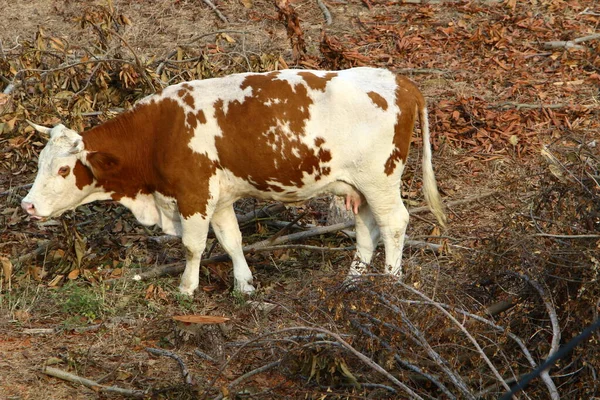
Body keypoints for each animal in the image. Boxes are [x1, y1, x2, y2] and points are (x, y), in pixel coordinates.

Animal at [21, 67, 446, 296]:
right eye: (40, 163)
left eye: (63, 170)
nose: (28, 205)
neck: (160, 132)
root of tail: (398, 80)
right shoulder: (221, 197)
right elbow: (231, 240)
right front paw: (244, 284)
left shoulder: (194, 194)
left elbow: (193, 246)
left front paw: (187, 288)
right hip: (358, 185)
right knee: (367, 228)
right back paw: (354, 279)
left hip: (380, 179)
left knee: (394, 224)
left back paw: (391, 281)